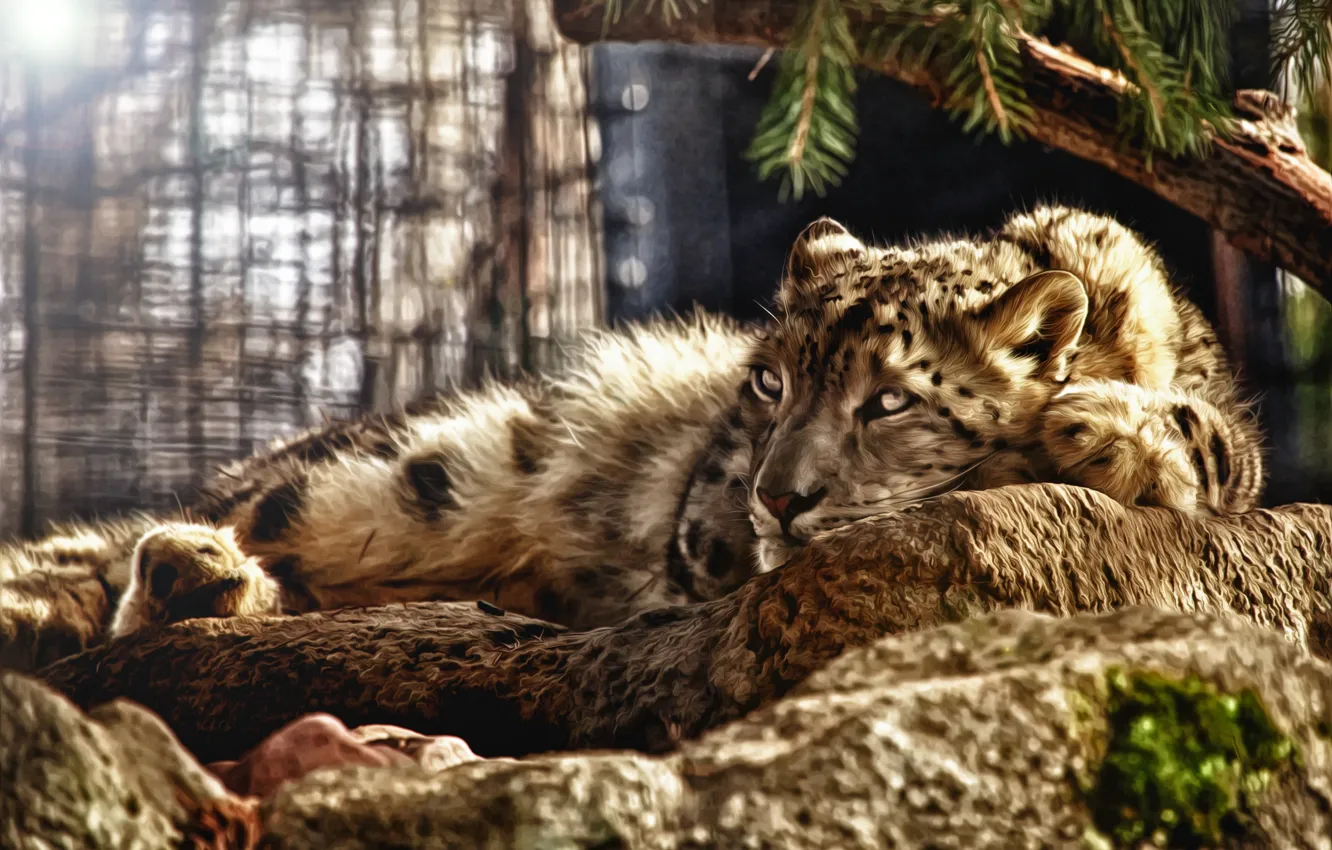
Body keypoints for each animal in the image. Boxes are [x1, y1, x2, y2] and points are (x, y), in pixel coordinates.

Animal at [0, 205, 1263, 672]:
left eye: (890, 401)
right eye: (768, 380)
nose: (776, 499)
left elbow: (1221, 445)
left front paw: (1102, 425)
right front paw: (1078, 426)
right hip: (403, 476)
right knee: (130, 562)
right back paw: (187, 568)